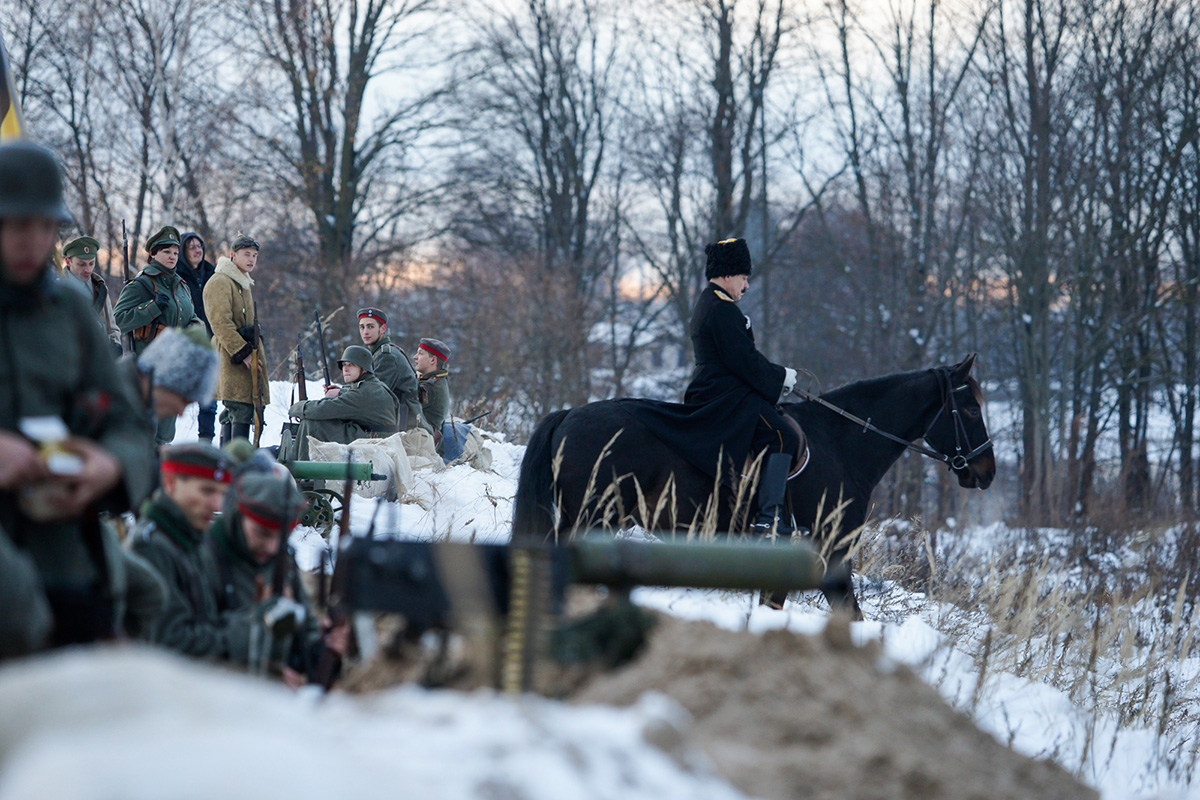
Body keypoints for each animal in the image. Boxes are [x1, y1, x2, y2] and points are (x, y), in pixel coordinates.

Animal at [513, 352, 993, 618]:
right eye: (970, 409)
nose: (985, 471)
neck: (841, 443)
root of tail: (569, 415)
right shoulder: (830, 550)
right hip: (592, 518)